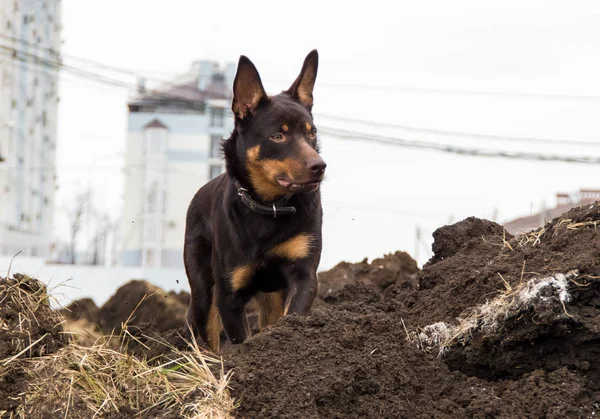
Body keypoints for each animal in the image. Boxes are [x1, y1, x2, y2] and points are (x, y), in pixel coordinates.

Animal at [183, 49, 326, 352]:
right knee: (207, 332)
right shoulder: (229, 293)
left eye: (312, 132)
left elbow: (293, 314)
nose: (319, 166)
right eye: (278, 135)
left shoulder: (304, 273)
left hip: (271, 293)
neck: (269, 207)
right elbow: (239, 339)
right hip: (203, 290)